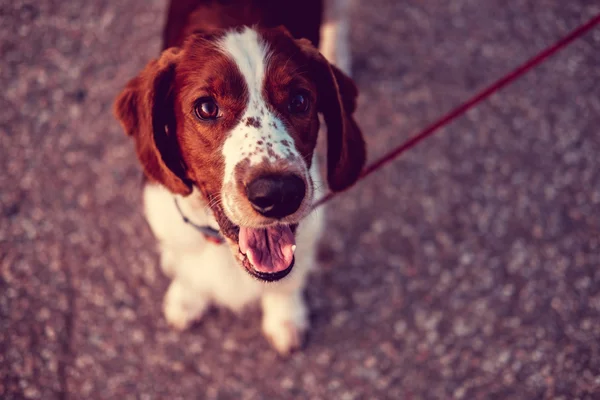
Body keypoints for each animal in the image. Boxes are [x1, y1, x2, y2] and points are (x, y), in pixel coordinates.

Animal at [113, 0, 366, 354]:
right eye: (206, 107)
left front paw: (285, 319)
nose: (279, 193)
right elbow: (186, 268)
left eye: (300, 100)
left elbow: (287, 283)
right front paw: (186, 298)